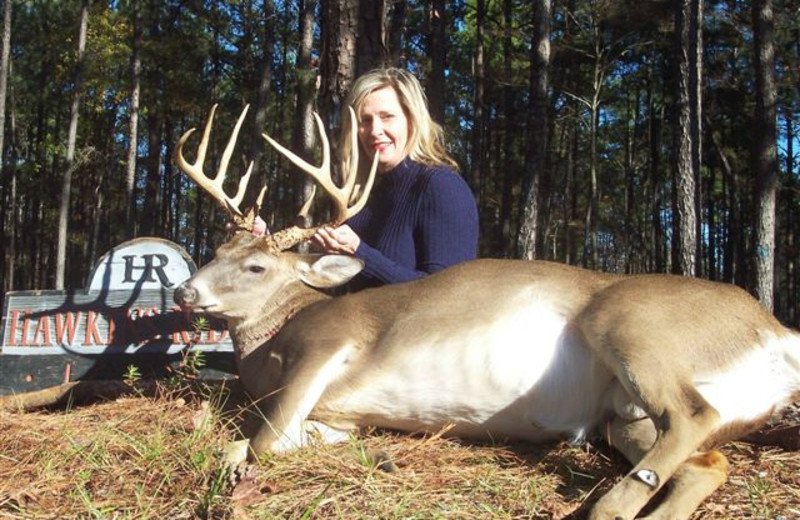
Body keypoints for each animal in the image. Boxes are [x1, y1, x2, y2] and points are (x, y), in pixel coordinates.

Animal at [172, 105, 796, 520]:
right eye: (216, 250)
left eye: (256, 267)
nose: (183, 292)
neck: (273, 342)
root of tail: (776, 330)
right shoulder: (336, 417)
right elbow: (267, 440)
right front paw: (380, 455)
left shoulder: (328, 343)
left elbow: (261, 440)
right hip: (624, 416)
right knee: (705, 460)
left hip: (632, 323)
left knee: (692, 415)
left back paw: (606, 507)